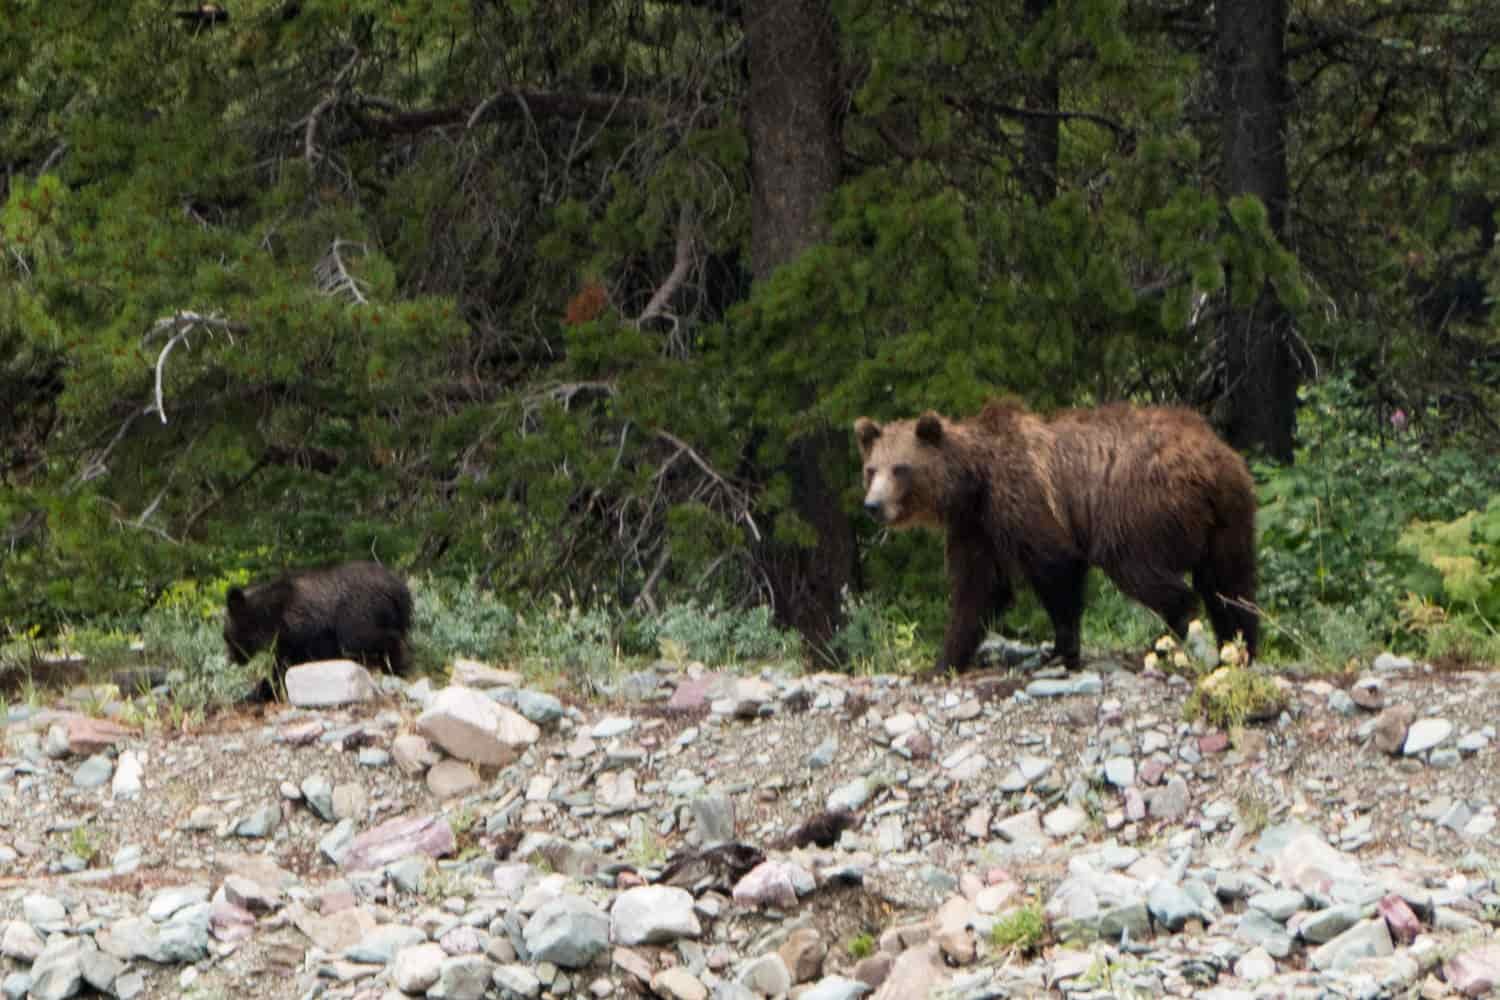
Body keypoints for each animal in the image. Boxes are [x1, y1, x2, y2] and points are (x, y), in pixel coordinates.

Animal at [223, 561, 413, 693]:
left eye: (226, 637)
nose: (231, 659)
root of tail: (400, 589)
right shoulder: (292, 642)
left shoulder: (304, 632)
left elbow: (284, 668)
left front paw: (260, 692)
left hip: (359, 611)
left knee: (364, 638)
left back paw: (396, 664)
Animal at [854, 398, 1258, 672]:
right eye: (871, 469)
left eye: (900, 468)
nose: (872, 505)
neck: (974, 484)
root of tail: (1212, 459)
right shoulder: (976, 527)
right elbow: (977, 591)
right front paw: (944, 661)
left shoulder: (1025, 502)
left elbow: (1055, 569)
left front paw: (1060, 652)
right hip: (1232, 515)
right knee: (1230, 585)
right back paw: (1241, 647)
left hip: (1140, 504)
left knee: (1141, 568)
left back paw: (1161, 642)